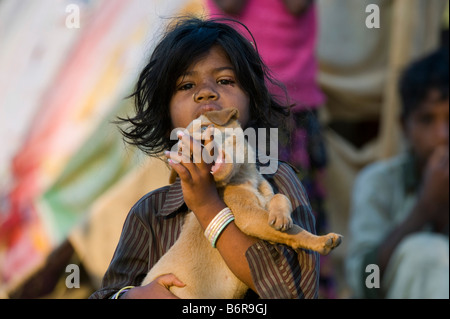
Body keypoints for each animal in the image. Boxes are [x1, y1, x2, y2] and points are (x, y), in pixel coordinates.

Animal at [142, 108, 342, 300]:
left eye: (205, 127)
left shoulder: (265, 197)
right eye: (183, 153)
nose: (196, 149)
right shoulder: (249, 216)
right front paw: (322, 240)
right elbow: (296, 232)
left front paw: (280, 215)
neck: (244, 176)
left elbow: (280, 197)